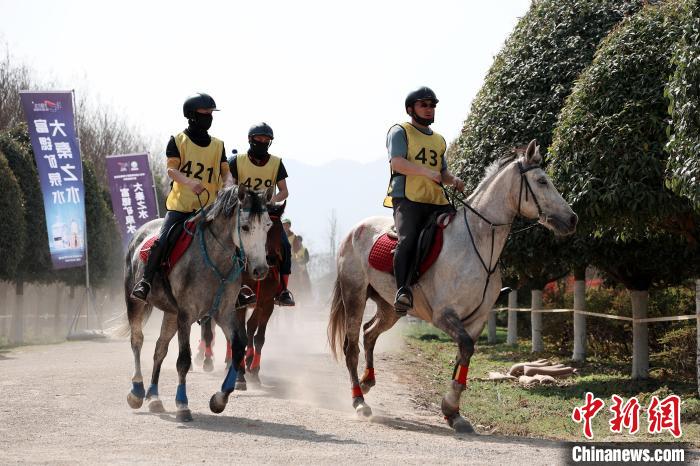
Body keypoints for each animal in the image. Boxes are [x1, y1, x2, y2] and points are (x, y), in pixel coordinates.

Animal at [120, 185, 272, 422]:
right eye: (245, 226)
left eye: (268, 225)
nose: (260, 270)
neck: (214, 260)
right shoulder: (186, 315)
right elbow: (184, 360)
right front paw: (183, 405)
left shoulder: (225, 314)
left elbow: (238, 348)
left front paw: (219, 399)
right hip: (135, 302)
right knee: (137, 340)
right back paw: (137, 391)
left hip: (171, 314)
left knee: (160, 349)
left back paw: (154, 398)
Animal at [327, 140, 577, 432]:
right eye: (541, 181)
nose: (572, 219)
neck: (477, 243)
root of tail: (353, 231)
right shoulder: (444, 316)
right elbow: (465, 348)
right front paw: (450, 406)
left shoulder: (476, 321)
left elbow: (463, 357)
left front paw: (453, 413)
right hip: (354, 295)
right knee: (351, 347)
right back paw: (359, 401)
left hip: (390, 307)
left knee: (369, 333)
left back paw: (368, 382)